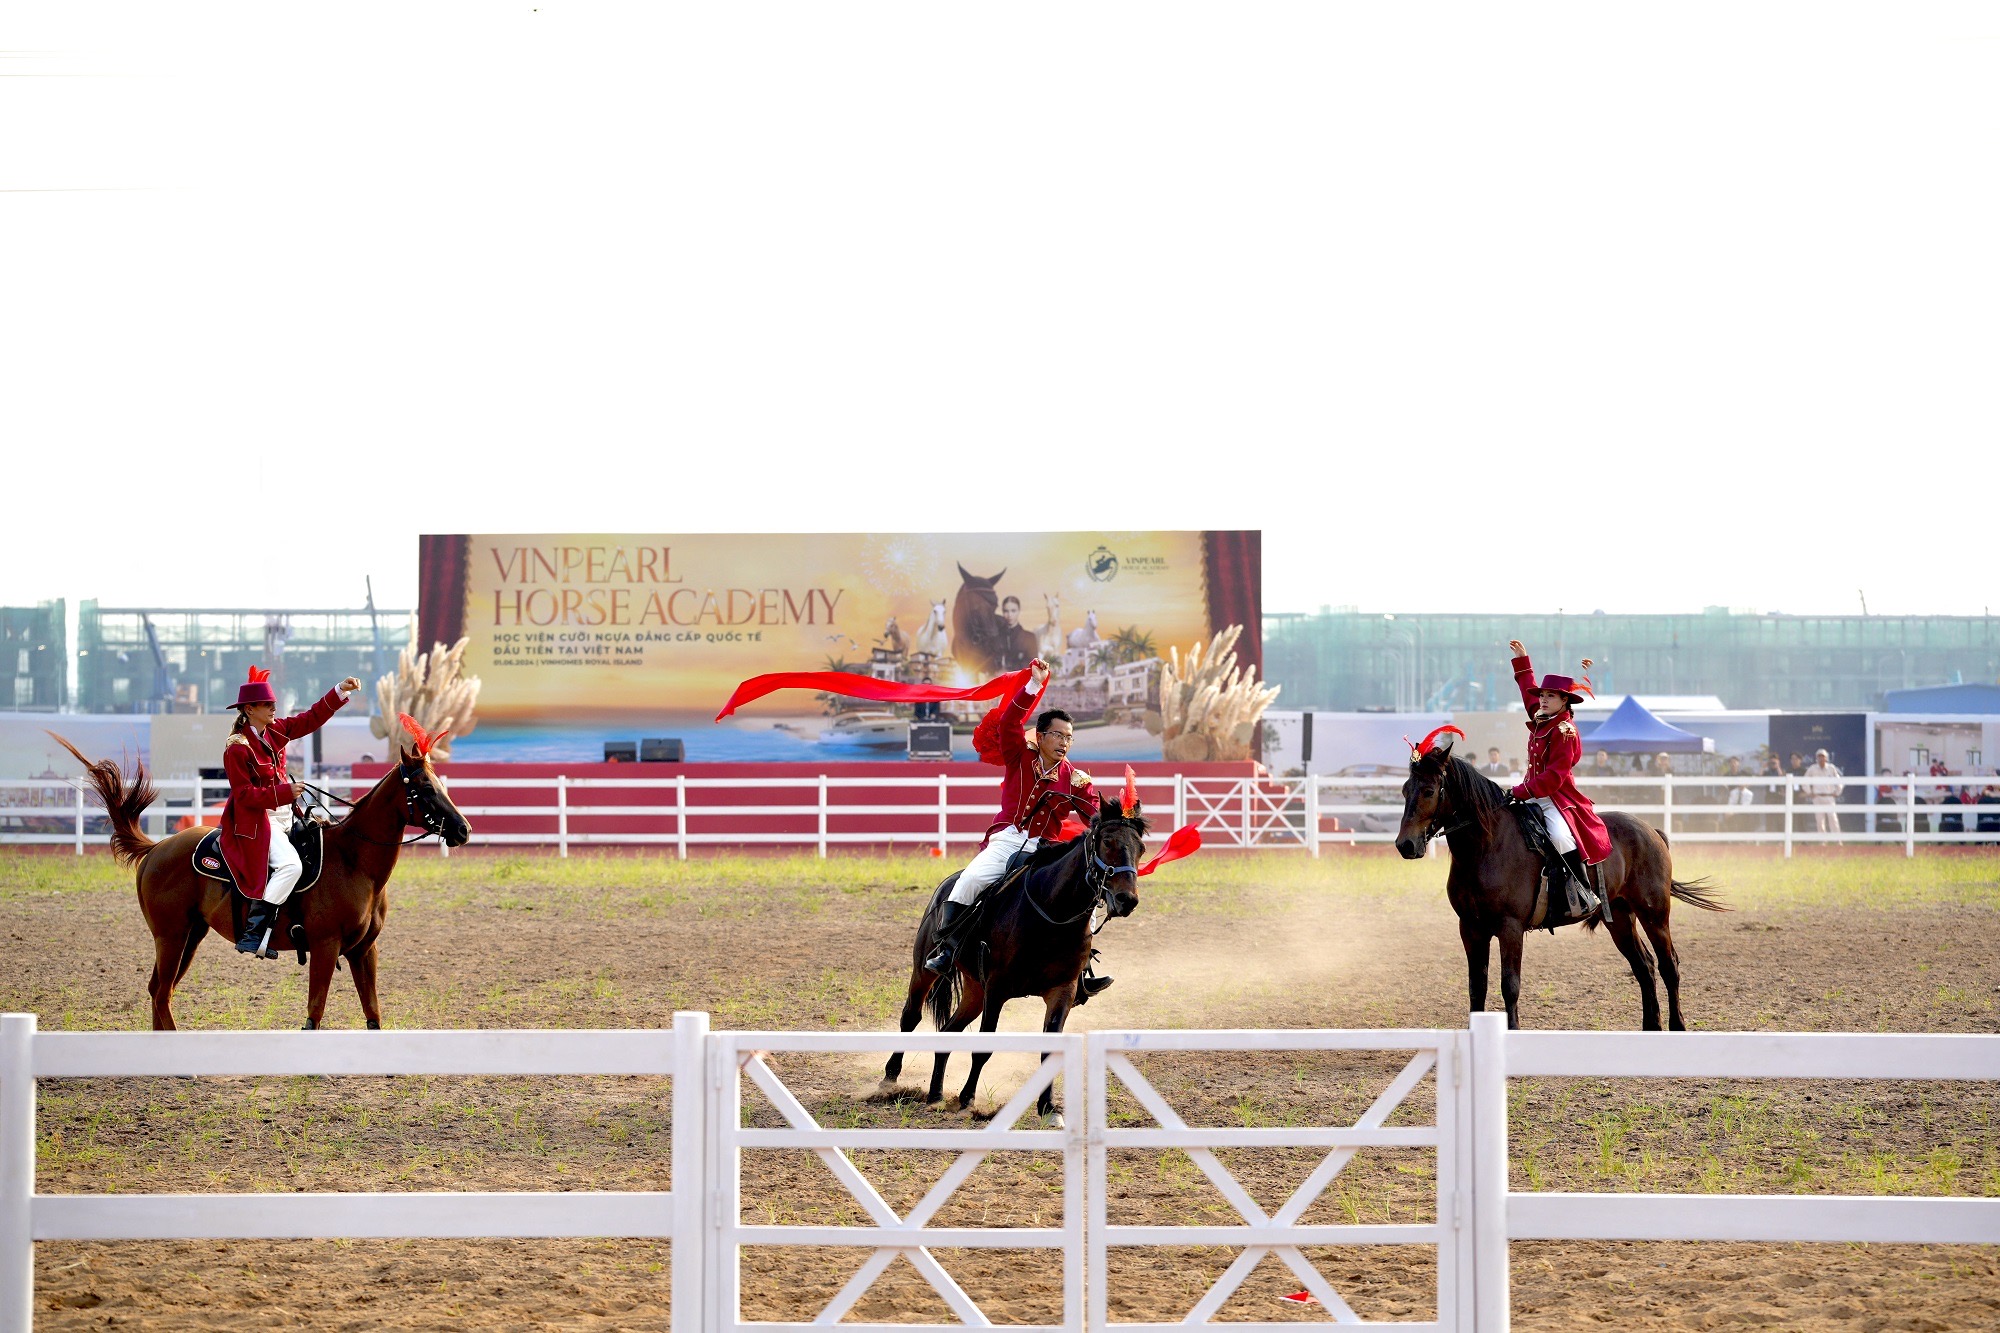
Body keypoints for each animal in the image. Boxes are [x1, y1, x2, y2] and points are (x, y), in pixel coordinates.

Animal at [52, 733, 471, 1031]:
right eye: (427, 788)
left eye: (440, 783)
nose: (464, 830)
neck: (354, 862)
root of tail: (156, 848)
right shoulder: (325, 947)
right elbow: (315, 1012)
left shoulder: (363, 951)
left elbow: (373, 1014)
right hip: (171, 937)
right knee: (161, 994)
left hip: (189, 936)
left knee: (159, 991)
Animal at [880, 799, 1146, 1124]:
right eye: (1107, 842)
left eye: (1141, 848)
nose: (1126, 900)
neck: (1051, 912)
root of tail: (945, 886)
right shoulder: (997, 989)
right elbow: (983, 1049)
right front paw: (967, 1099)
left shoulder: (1063, 990)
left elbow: (1050, 1050)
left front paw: (1048, 1109)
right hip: (925, 972)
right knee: (911, 1016)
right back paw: (890, 1078)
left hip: (975, 990)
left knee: (948, 1032)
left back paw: (935, 1094)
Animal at [1395, 737, 1726, 1031]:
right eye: (1404, 790)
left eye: (1428, 790)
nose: (1405, 845)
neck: (1486, 847)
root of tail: (1651, 831)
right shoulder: (1471, 929)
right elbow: (1477, 987)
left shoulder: (1510, 928)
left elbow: (1509, 985)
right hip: (1620, 918)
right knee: (1644, 966)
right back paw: (1651, 1027)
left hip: (1654, 914)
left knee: (1669, 965)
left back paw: (1677, 1026)